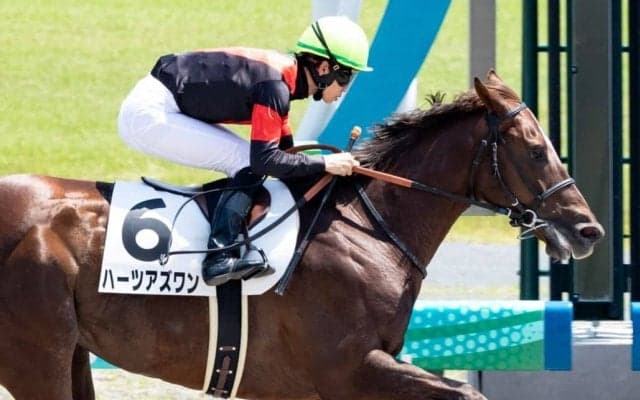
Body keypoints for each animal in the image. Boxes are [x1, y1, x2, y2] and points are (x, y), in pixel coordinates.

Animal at [0, 71, 603, 400]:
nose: (588, 228)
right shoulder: (349, 371)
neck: (370, 231)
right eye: (534, 149)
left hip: (71, 354)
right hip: (35, 358)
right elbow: (464, 391)